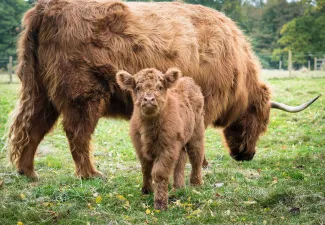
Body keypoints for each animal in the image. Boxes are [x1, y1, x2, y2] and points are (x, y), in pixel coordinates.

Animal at [8, 0, 318, 180]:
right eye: (262, 123)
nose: (248, 155)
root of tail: (46, 7)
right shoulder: (205, 102)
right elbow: (197, 136)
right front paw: (203, 163)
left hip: (40, 90)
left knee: (32, 126)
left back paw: (28, 172)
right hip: (82, 93)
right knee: (76, 133)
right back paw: (90, 174)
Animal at [115, 67, 204, 210]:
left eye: (160, 87)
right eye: (138, 87)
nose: (149, 99)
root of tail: (187, 79)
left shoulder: (168, 148)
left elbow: (159, 173)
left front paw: (160, 203)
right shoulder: (140, 147)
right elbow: (146, 169)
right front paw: (146, 190)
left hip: (196, 133)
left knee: (196, 156)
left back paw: (196, 184)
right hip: (180, 139)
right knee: (181, 159)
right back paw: (178, 187)